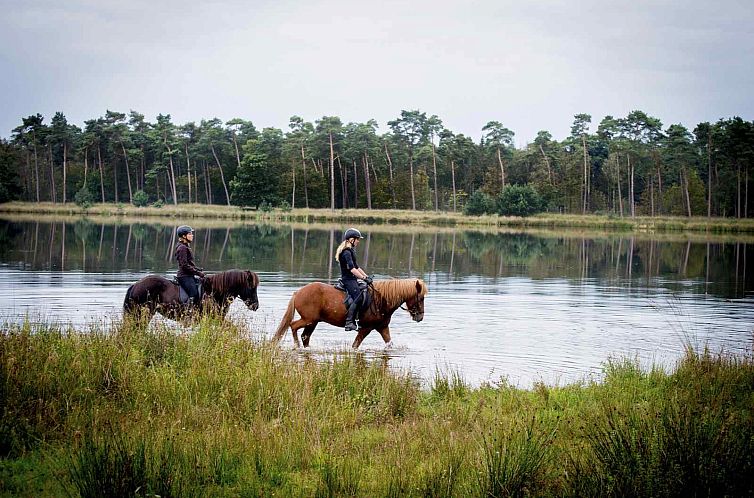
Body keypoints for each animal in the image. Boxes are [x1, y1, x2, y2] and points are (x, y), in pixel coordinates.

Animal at [272, 278, 426, 348]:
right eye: (421, 298)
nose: (420, 317)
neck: (380, 300)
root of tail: (298, 292)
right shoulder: (366, 328)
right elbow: (355, 345)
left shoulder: (382, 327)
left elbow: (389, 344)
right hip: (308, 319)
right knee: (293, 326)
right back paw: (297, 346)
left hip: (313, 322)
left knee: (305, 336)